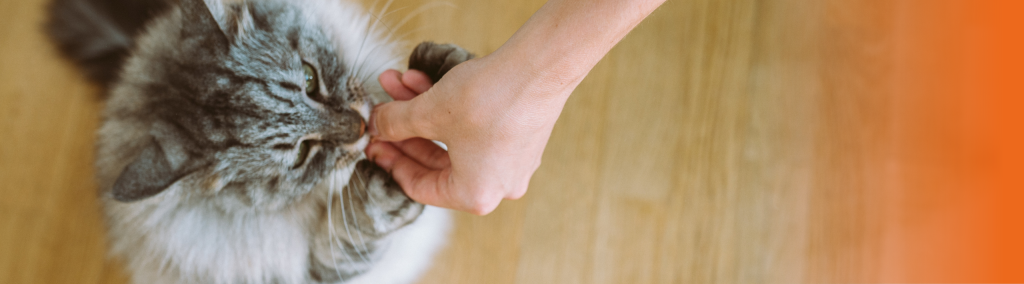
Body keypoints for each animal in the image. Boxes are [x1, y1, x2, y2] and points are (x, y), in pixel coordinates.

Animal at [47, 0, 475, 280]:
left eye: (309, 79)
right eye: (301, 155)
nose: (361, 127)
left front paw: (442, 70)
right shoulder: (316, 270)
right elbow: (353, 232)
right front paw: (378, 194)